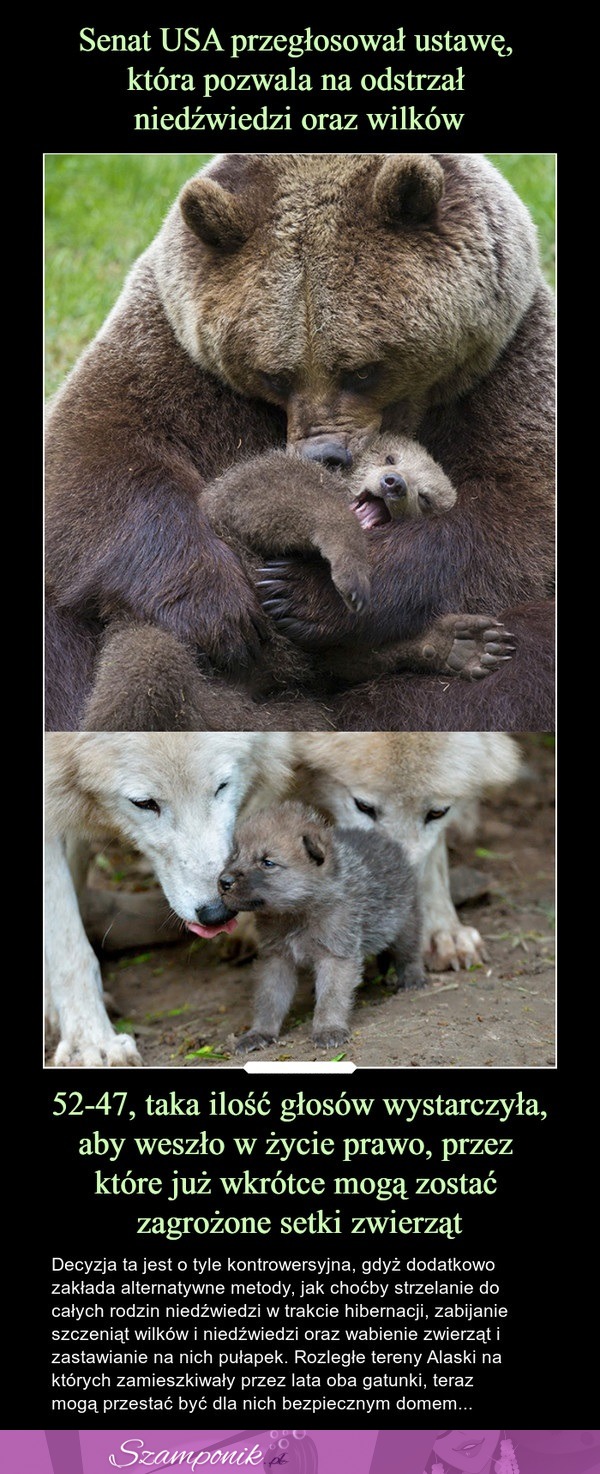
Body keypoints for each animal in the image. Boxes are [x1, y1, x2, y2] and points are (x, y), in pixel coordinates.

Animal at [44, 155, 557, 731]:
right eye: (274, 375)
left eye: (362, 370)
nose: (324, 454)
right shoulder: (170, 349)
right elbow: (96, 457)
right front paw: (220, 608)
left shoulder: (508, 369)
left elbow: (511, 521)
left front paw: (309, 594)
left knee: (524, 659)